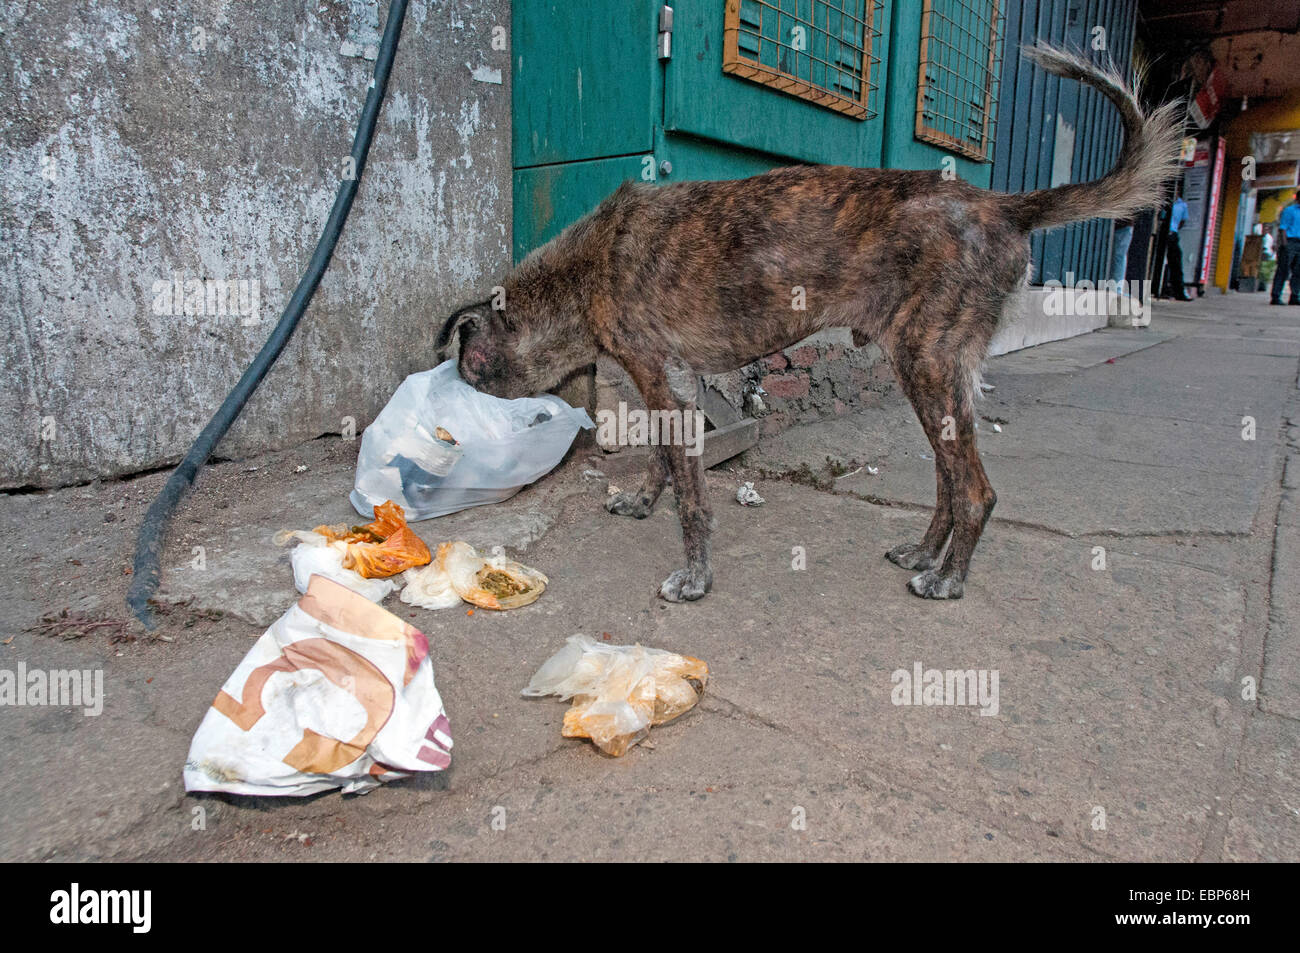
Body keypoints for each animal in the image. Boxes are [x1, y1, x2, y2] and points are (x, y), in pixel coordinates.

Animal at [439, 46, 1190, 603]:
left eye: (468, 363)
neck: (585, 269)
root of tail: (1004, 205)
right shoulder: (670, 385)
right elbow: (663, 460)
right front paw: (645, 501)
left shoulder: (663, 382)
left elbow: (692, 494)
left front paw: (695, 575)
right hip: (932, 376)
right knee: (949, 481)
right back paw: (923, 550)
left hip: (929, 363)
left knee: (976, 489)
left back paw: (947, 578)